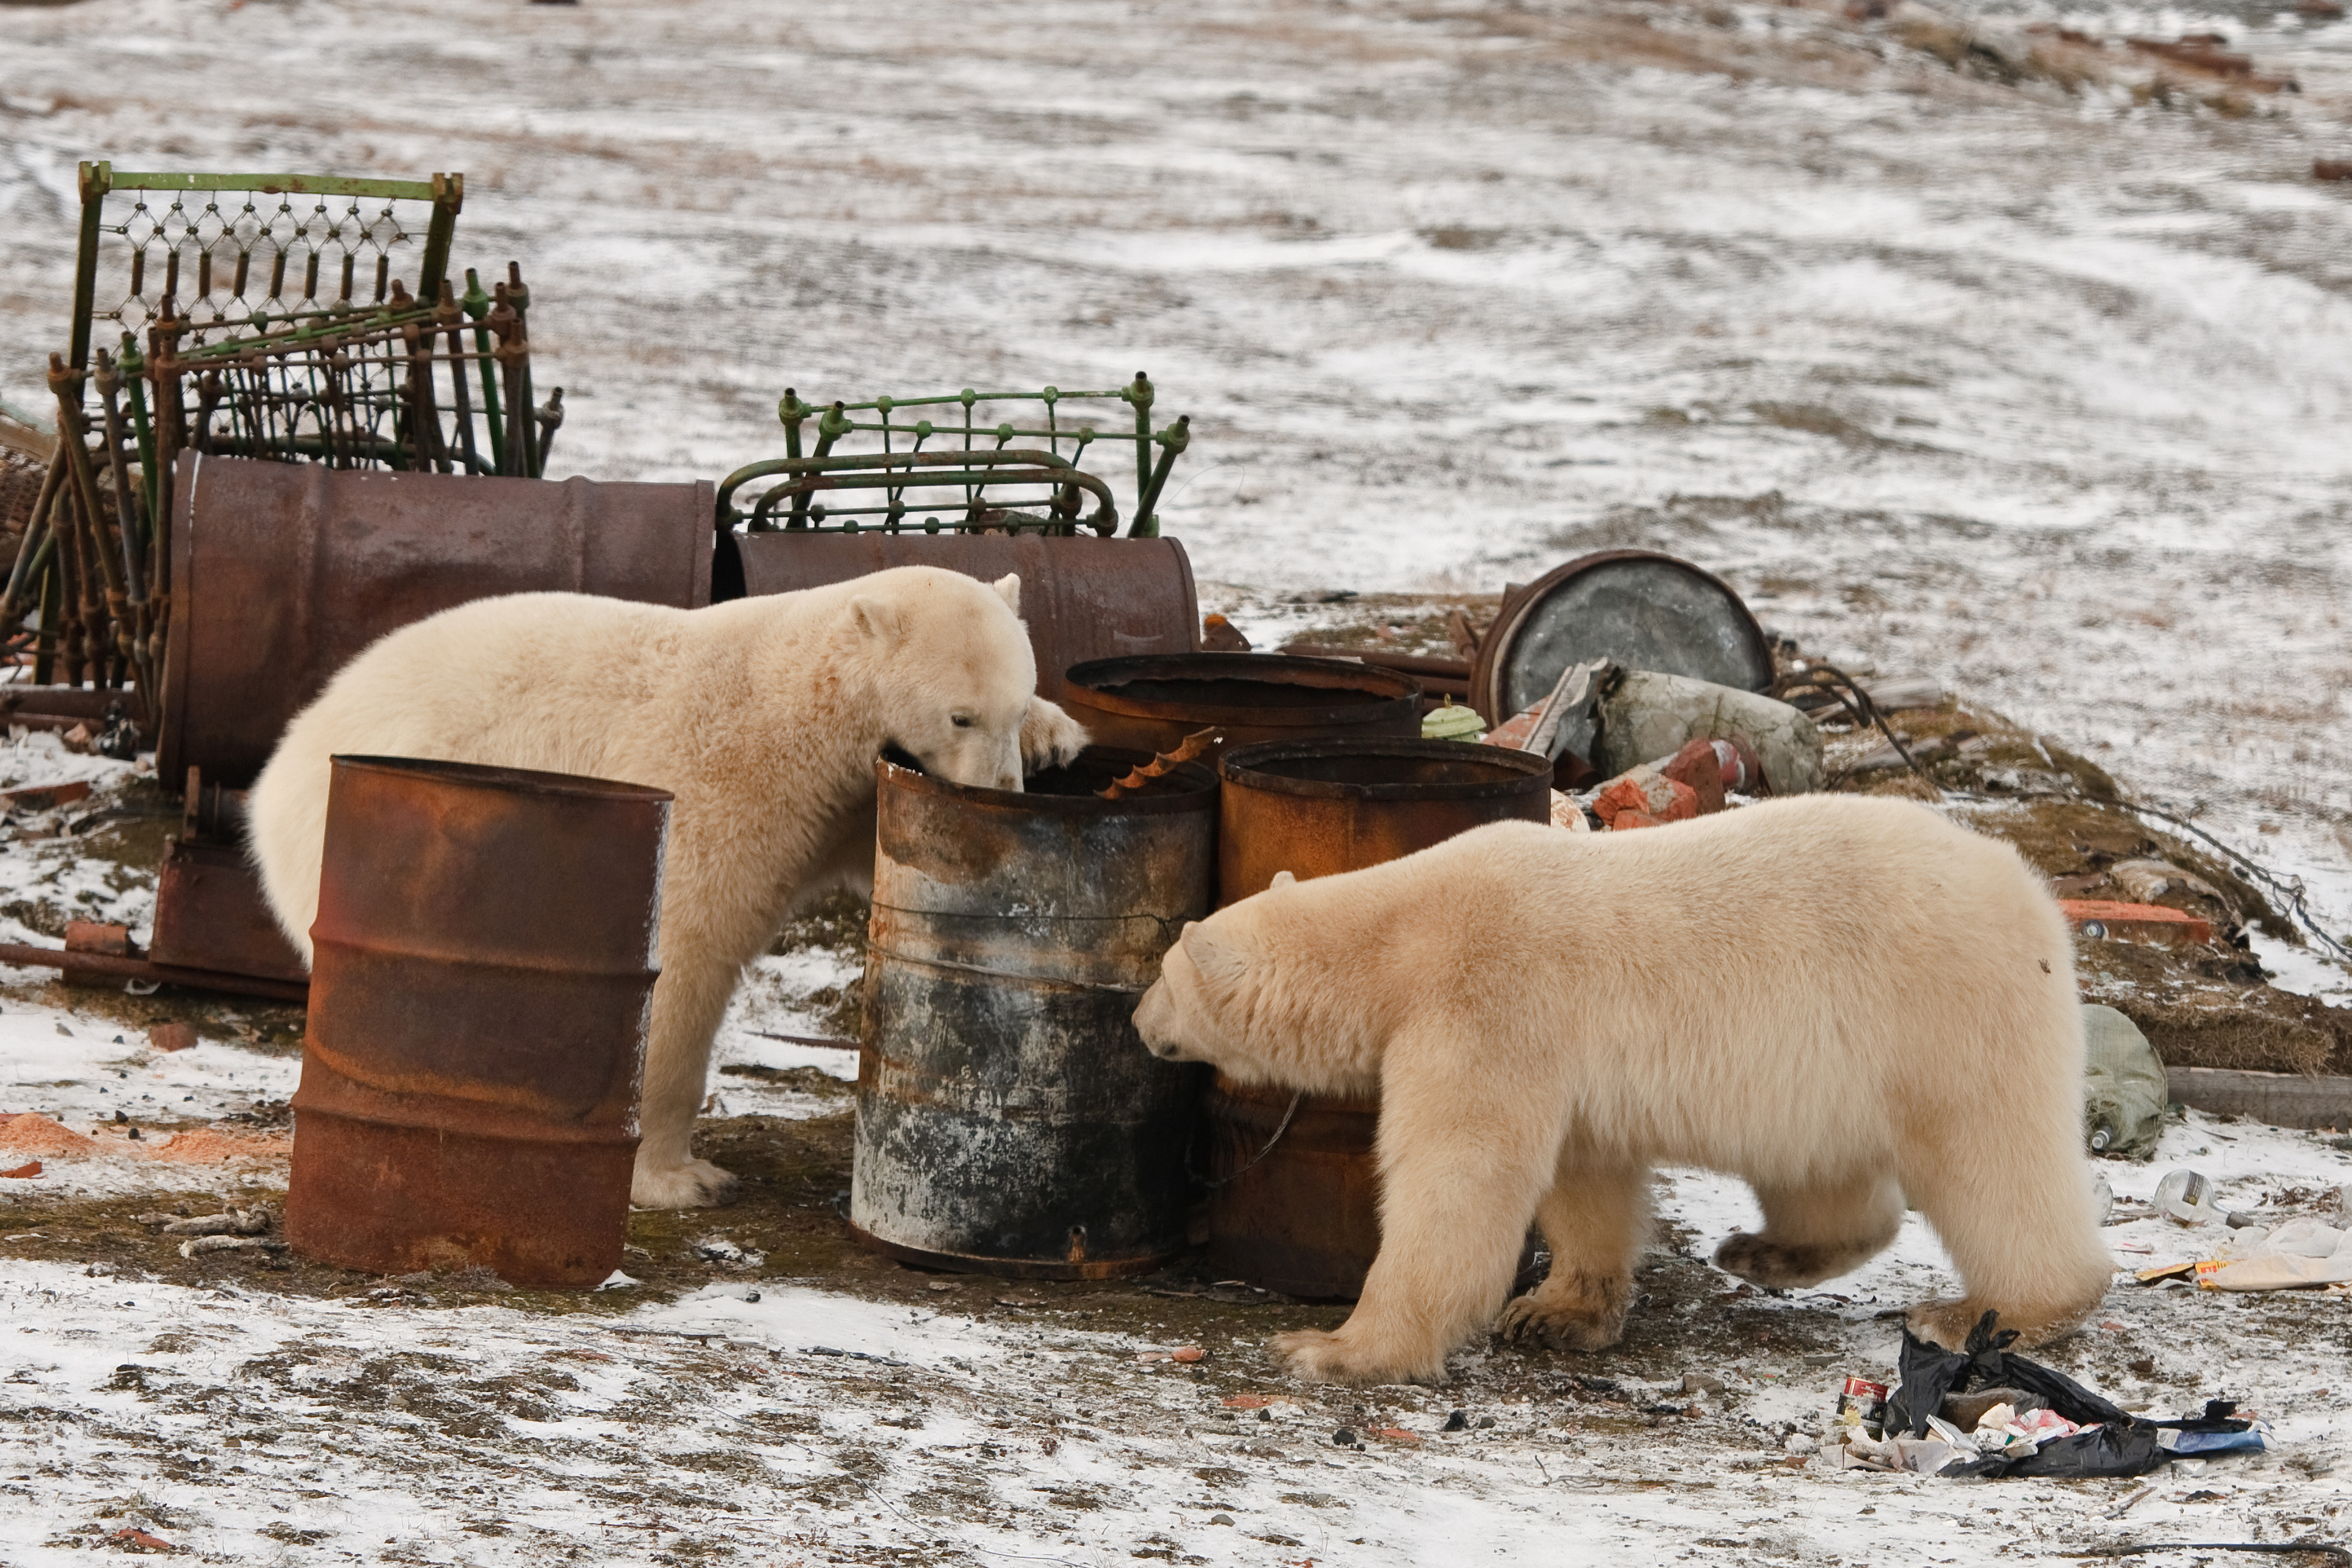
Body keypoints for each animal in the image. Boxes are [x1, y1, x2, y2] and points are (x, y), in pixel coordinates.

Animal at [253, 571, 1096, 1213]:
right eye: (960, 714)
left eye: (1017, 700)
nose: (1002, 790)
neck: (800, 695)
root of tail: (282, 763)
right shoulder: (732, 777)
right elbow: (688, 948)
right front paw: (680, 1179)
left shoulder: (849, 796)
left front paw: (1058, 738)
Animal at [1134, 799, 2117, 1382]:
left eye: (1164, 974)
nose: (1138, 1021)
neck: (1399, 932)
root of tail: (2032, 892)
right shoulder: (1560, 1061)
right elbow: (1585, 1175)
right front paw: (1558, 1312)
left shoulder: (1484, 1005)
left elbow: (1457, 1174)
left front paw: (1334, 1347)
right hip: (1830, 1065)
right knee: (1823, 1167)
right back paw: (1768, 1251)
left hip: (1944, 1014)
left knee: (1991, 1161)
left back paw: (1989, 1312)